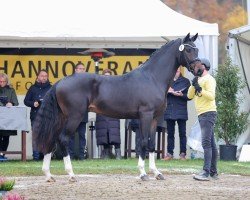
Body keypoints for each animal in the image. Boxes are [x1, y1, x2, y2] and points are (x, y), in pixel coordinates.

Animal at [33, 32, 198, 181]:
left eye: (196, 49)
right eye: (188, 50)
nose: (199, 69)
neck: (152, 78)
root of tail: (59, 82)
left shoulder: (154, 118)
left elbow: (151, 144)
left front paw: (157, 173)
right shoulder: (145, 115)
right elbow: (143, 142)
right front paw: (143, 174)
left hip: (62, 117)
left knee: (52, 139)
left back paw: (49, 175)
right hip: (74, 117)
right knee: (63, 139)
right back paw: (71, 174)